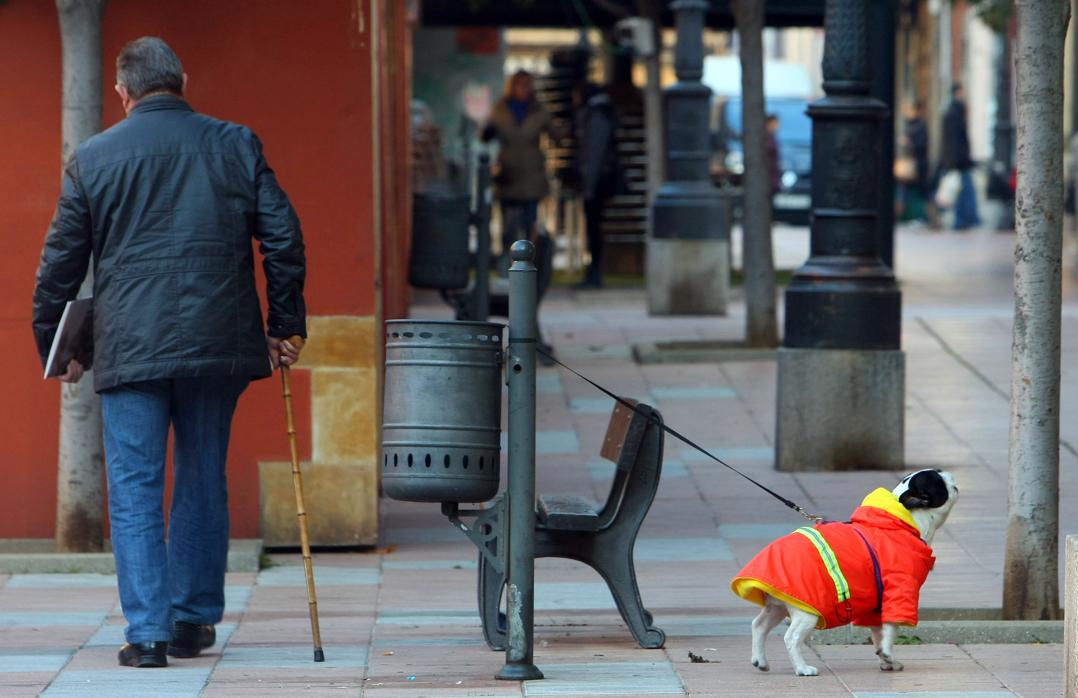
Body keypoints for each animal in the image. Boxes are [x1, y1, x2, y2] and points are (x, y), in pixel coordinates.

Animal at [728, 472, 957, 673]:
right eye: (938, 480)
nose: (947, 473)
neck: (904, 520)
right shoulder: (899, 590)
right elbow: (891, 628)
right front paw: (888, 654)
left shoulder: (876, 604)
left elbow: (879, 633)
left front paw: (887, 660)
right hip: (806, 612)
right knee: (791, 637)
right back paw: (802, 668)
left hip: (778, 606)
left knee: (759, 625)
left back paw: (760, 661)